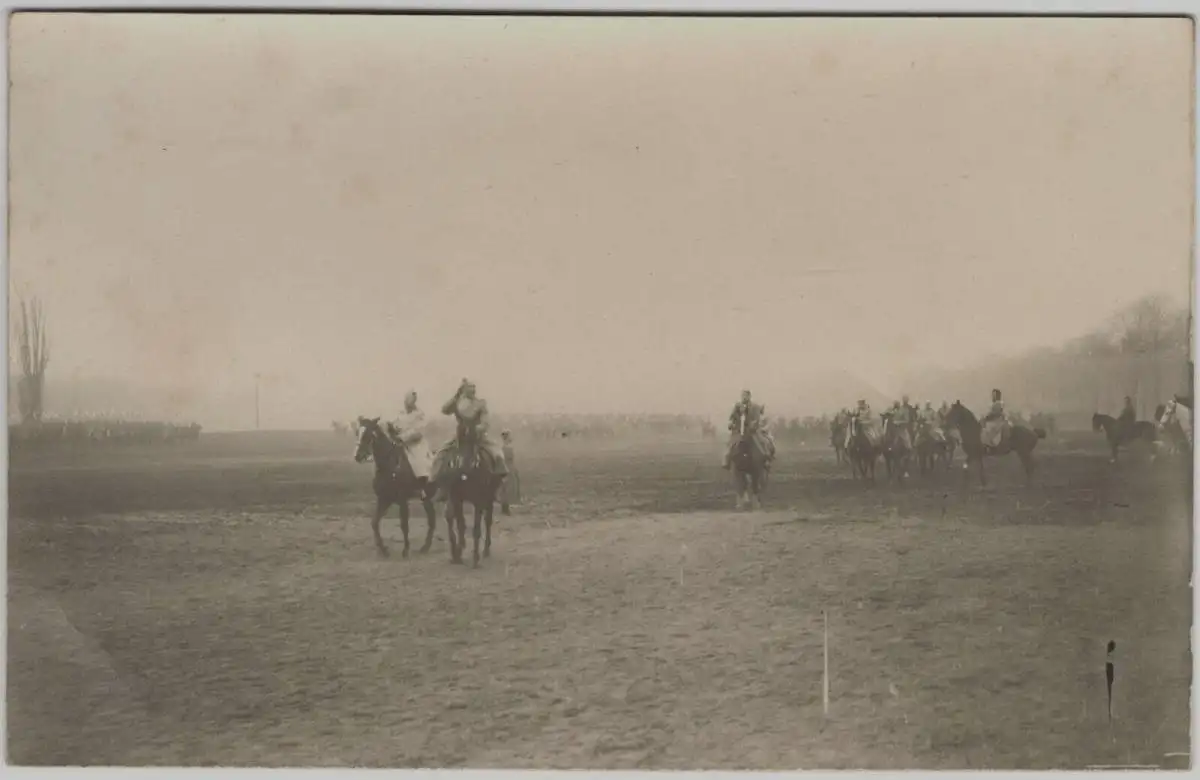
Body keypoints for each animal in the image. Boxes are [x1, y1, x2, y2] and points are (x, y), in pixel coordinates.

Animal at [350, 415, 436, 556]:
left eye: (368, 435)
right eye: (357, 432)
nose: (357, 456)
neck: (390, 465)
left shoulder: (402, 500)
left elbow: (404, 525)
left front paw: (405, 550)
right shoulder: (384, 499)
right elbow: (374, 522)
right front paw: (383, 550)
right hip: (426, 499)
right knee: (432, 519)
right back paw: (425, 548)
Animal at [434, 420, 504, 564]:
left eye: (473, 447)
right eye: (459, 448)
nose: (463, 472)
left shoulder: (478, 500)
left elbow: (476, 528)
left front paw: (475, 558)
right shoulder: (456, 499)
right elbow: (460, 524)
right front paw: (458, 553)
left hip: (489, 498)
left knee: (488, 521)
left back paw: (486, 550)